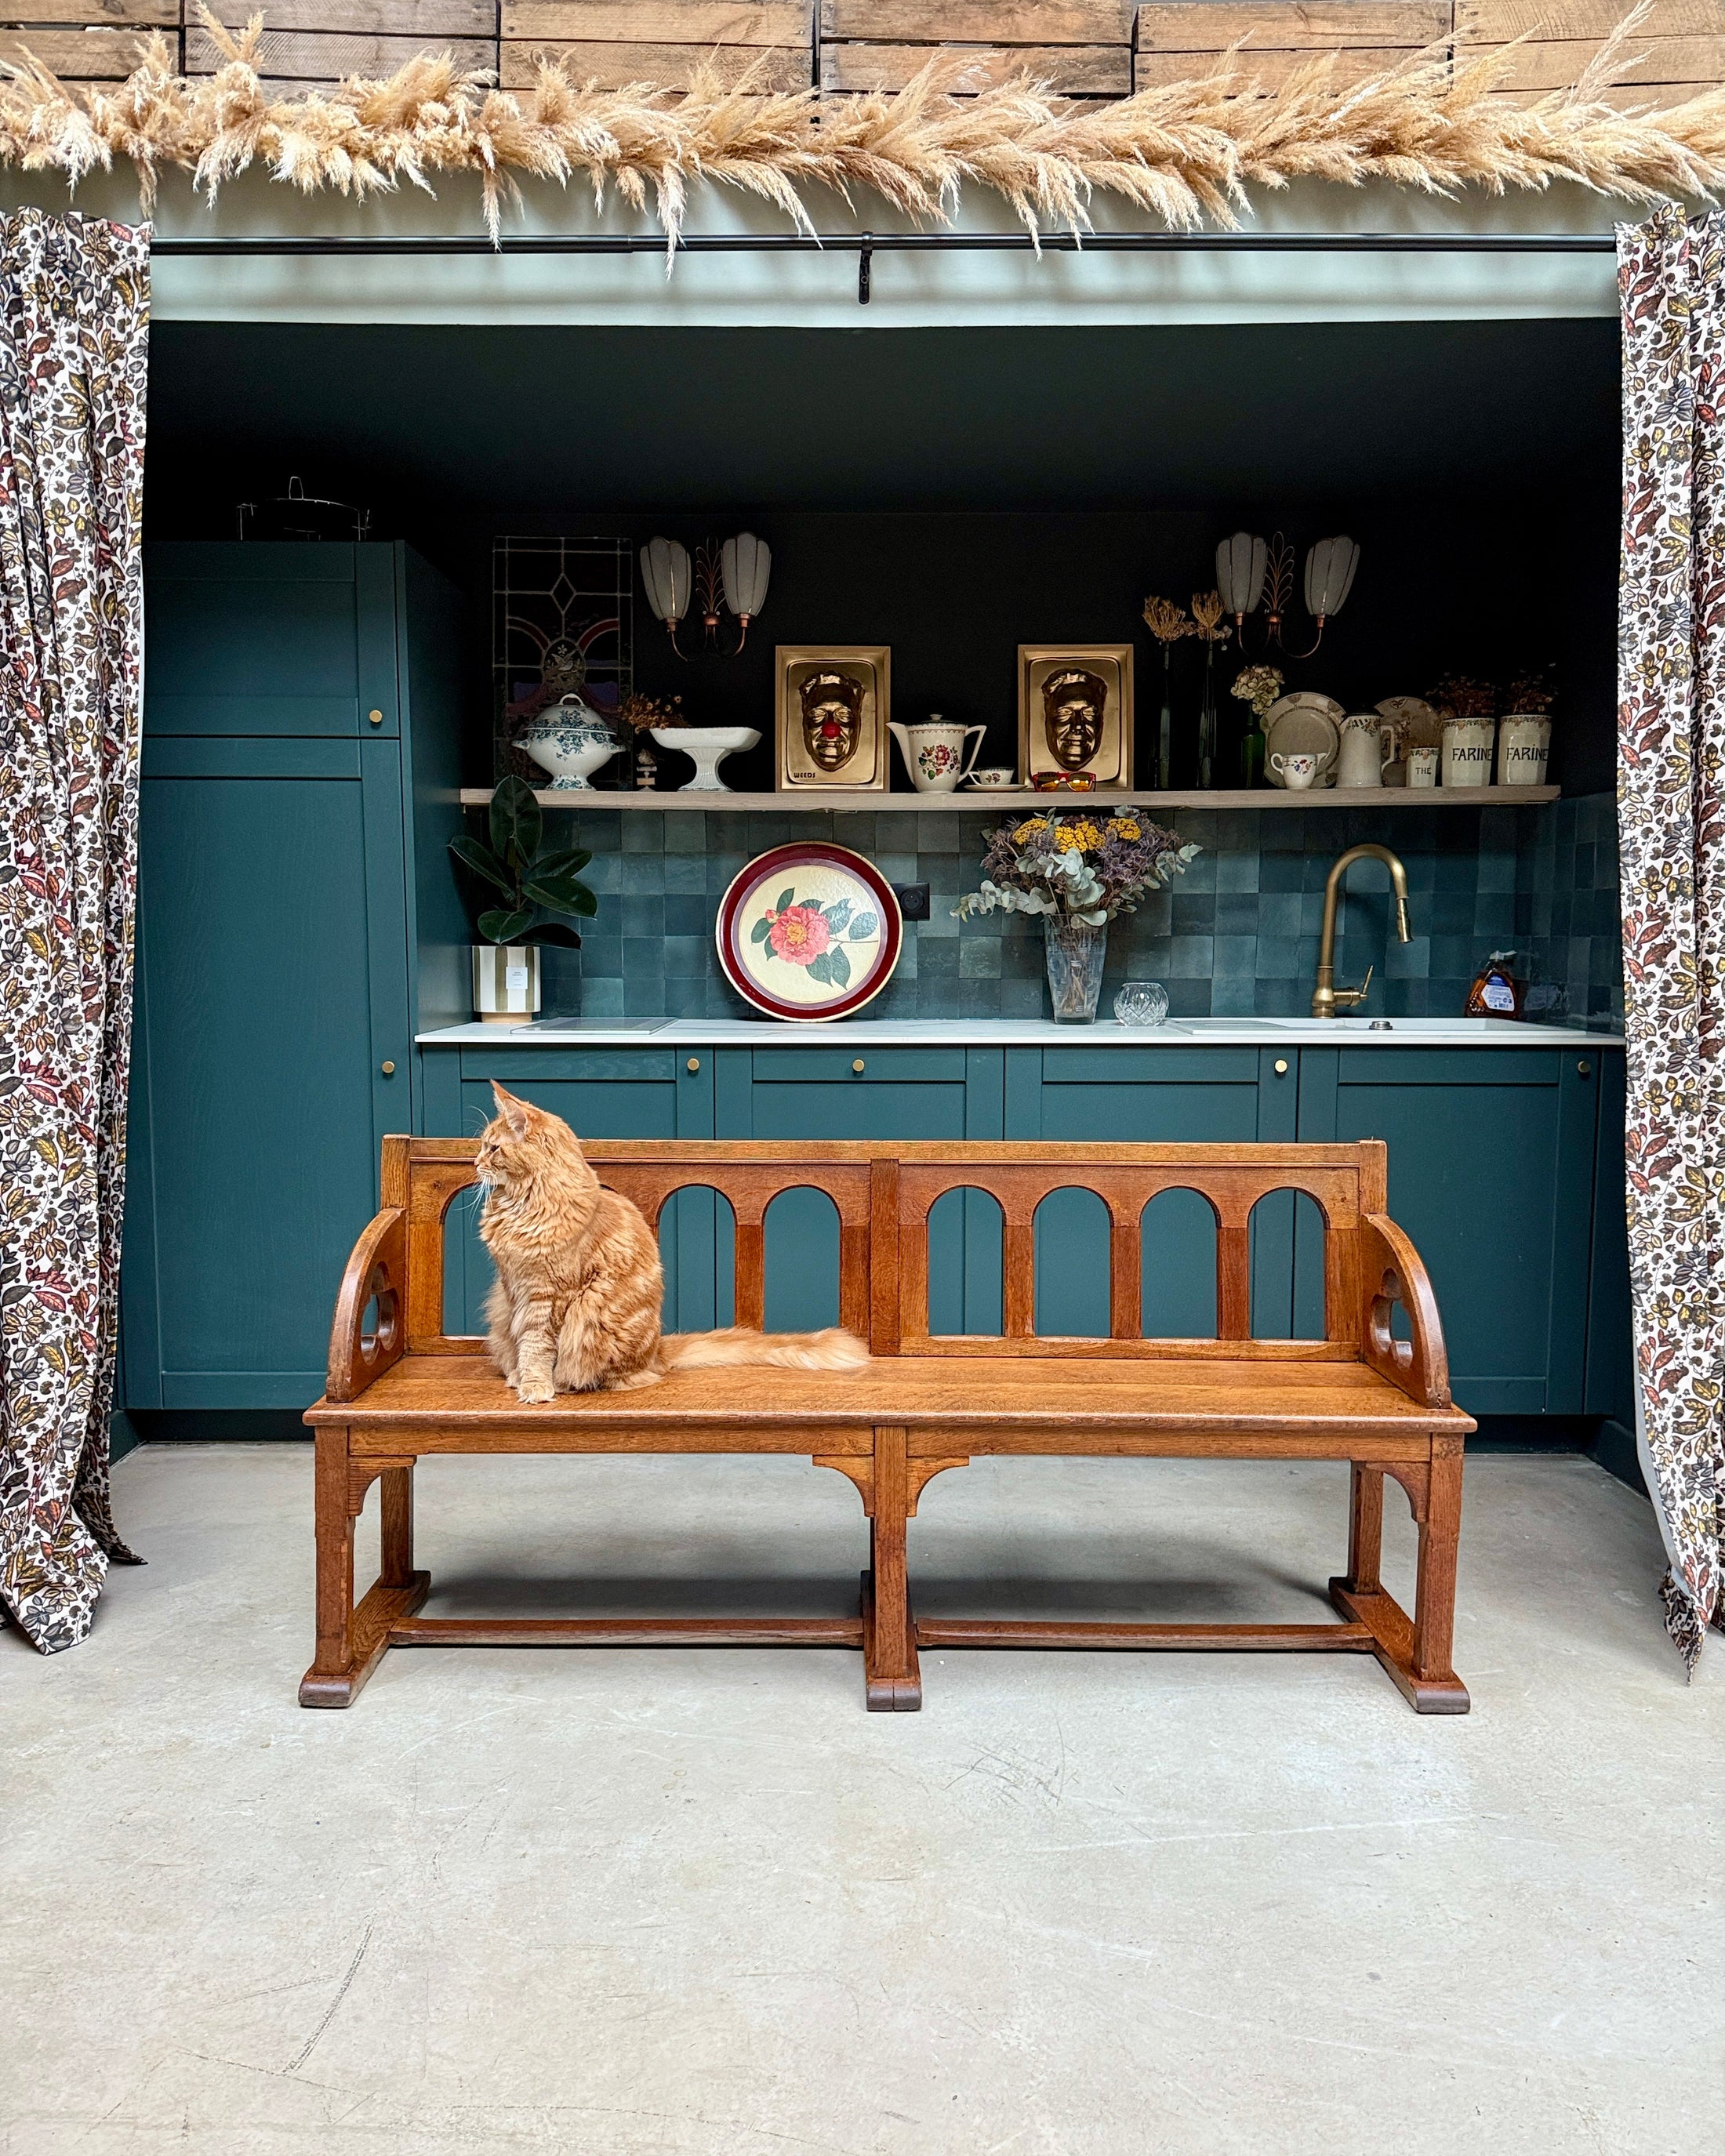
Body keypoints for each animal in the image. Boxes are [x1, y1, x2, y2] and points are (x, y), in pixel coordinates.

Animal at [478, 1078, 871, 1397]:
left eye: (493, 1148)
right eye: (482, 1146)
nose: (476, 1164)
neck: (524, 1205)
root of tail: (657, 1351)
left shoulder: (549, 1294)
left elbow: (537, 1345)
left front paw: (537, 1385)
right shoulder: (513, 1289)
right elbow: (521, 1342)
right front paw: (521, 1377)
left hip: (594, 1318)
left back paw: (565, 1383)